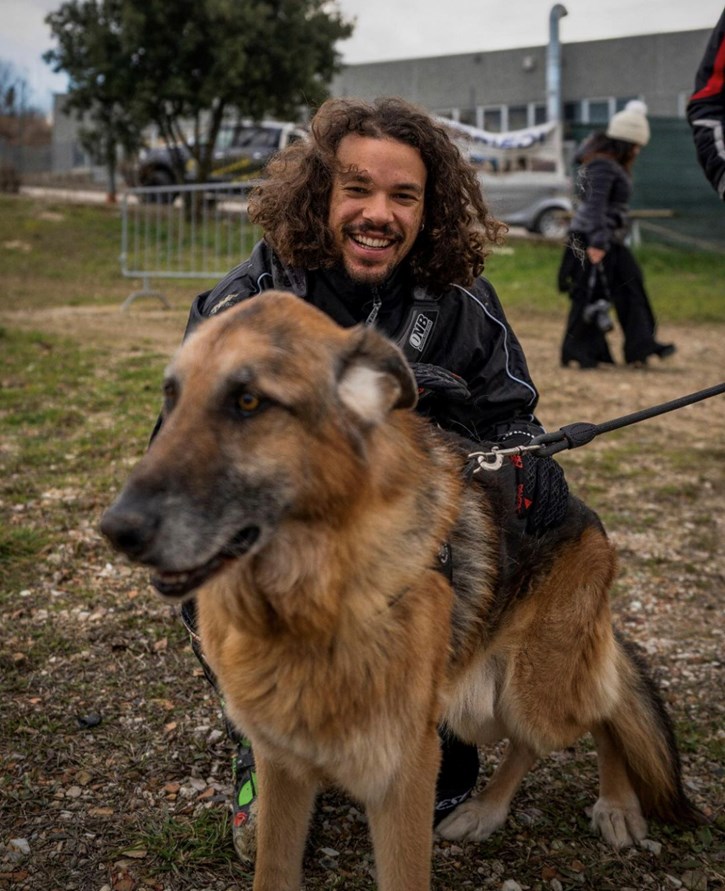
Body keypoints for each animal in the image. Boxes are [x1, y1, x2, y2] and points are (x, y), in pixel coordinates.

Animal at [100, 292, 696, 891]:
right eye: (172, 397)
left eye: (248, 401)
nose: (116, 530)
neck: (306, 602)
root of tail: (587, 517)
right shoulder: (281, 762)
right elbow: (274, 866)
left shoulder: (404, 771)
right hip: (475, 701)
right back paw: (491, 809)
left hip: (531, 692)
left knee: (602, 706)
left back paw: (610, 804)